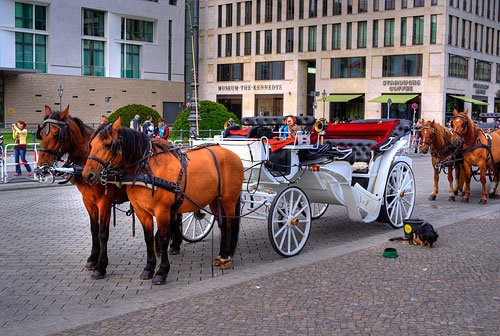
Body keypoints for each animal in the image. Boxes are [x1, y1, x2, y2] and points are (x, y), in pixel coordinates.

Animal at [82, 118, 244, 284]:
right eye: (91, 144)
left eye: (108, 144)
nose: (87, 175)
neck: (146, 170)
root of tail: (232, 154)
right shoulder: (142, 211)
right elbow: (148, 239)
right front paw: (148, 268)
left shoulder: (162, 211)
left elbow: (164, 238)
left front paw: (162, 271)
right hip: (214, 200)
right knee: (222, 224)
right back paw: (221, 254)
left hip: (228, 200)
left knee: (230, 223)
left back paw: (225, 256)